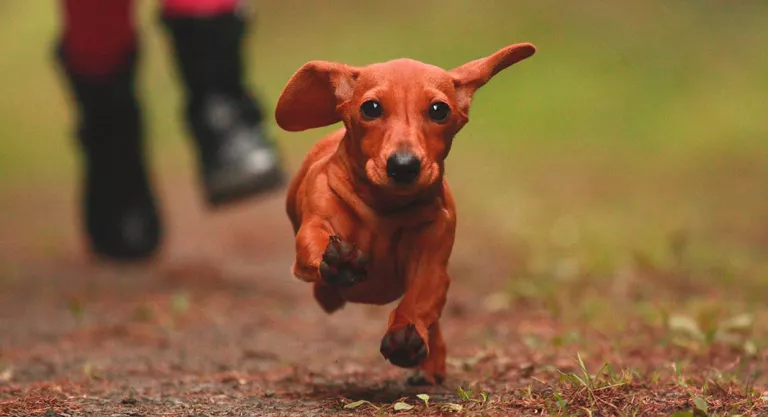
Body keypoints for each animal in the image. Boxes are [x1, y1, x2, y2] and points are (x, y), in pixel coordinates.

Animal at [274, 42, 536, 384]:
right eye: (371, 108)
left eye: (439, 110)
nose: (403, 166)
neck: (386, 208)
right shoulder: (318, 221)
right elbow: (315, 242)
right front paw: (341, 262)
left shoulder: (432, 266)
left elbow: (419, 301)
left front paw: (403, 337)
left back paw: (430, 363)